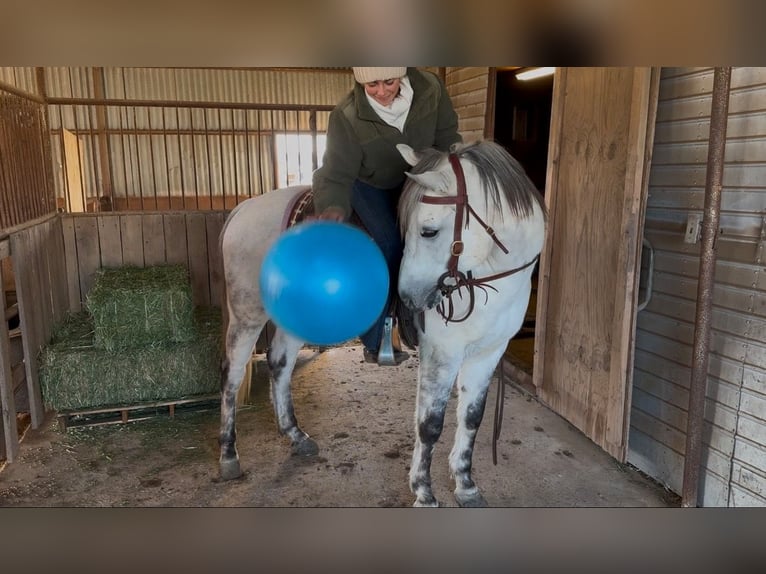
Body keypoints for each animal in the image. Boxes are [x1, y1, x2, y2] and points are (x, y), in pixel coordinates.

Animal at [219, 140, 548, 508]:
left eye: (428, 231)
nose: (408, 297)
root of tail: (244, 209)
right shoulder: (442, 355)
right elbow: (430, 424)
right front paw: (424, 492)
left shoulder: (487, 353)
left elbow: (472, 417)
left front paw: (465, 485)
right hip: (247, 313)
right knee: (232, 374)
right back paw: (229, 456)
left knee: (279, 365)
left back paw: (294, 435)